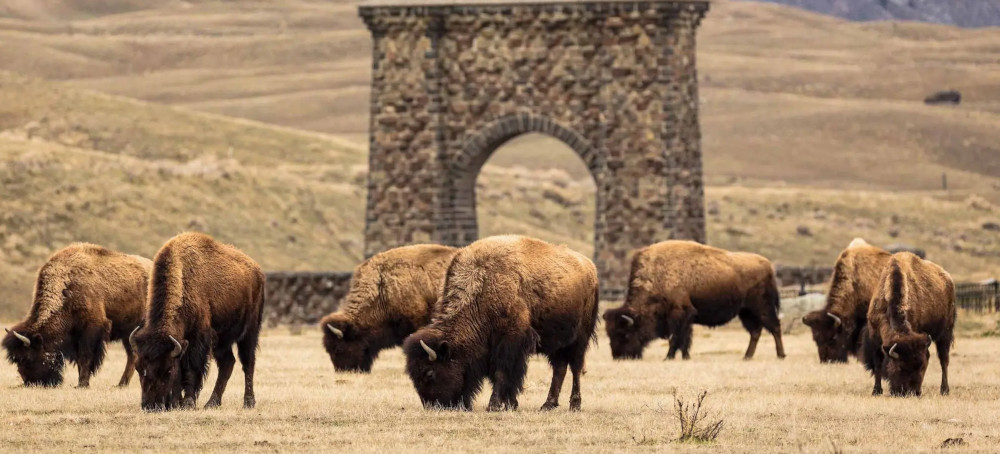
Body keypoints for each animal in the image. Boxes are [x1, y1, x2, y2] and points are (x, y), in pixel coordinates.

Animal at [3, 244, 151, 387]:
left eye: (27, 357)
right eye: (16, 359)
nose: (30, 383)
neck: (67, 286)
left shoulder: (90, 331)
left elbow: (85, 358)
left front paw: (82, 384)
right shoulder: (76, 337)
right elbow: (80, 360)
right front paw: (81, 383)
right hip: (128, 334)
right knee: (132, 356)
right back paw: (121, 384)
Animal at [130, 232, 264, 411]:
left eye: (167, 370)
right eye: (139, 368)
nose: (151, 406)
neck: (183, 278)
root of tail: (258, 270)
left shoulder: (198, 338)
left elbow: (191, 369)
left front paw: (187, 403)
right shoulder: (182, 343)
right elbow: (181, 372)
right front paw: (177, 403)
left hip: (249, 332)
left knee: (248, 362)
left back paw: (248, 402)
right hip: (222, 341)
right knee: (228, 363)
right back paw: (212, 403)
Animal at [403, 235, 599, 411]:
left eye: (429, 373)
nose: (433, 407)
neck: (482, 284)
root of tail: (590, 268)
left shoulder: (509, 342)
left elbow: (502, 372)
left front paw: (494, 405)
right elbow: (501, 375)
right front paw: (510, 404)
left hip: (579, 339)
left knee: (575, 368)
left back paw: (574, 405)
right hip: (557, 343)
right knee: (559, 368)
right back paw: (548, 405)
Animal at [604, 241, 785, 360]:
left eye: (624, 334)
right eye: (609, 334)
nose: (619, 356)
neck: (657, 276)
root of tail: (768, 266)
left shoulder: (680, 313)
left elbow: (676, 337)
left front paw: (668, 357)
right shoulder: (687, 316)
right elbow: (685, 339)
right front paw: (685, 357)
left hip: (762, 308)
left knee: (774, 327)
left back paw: (780, 355)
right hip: (745, 312)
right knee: (755, 332)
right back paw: (747, 356)